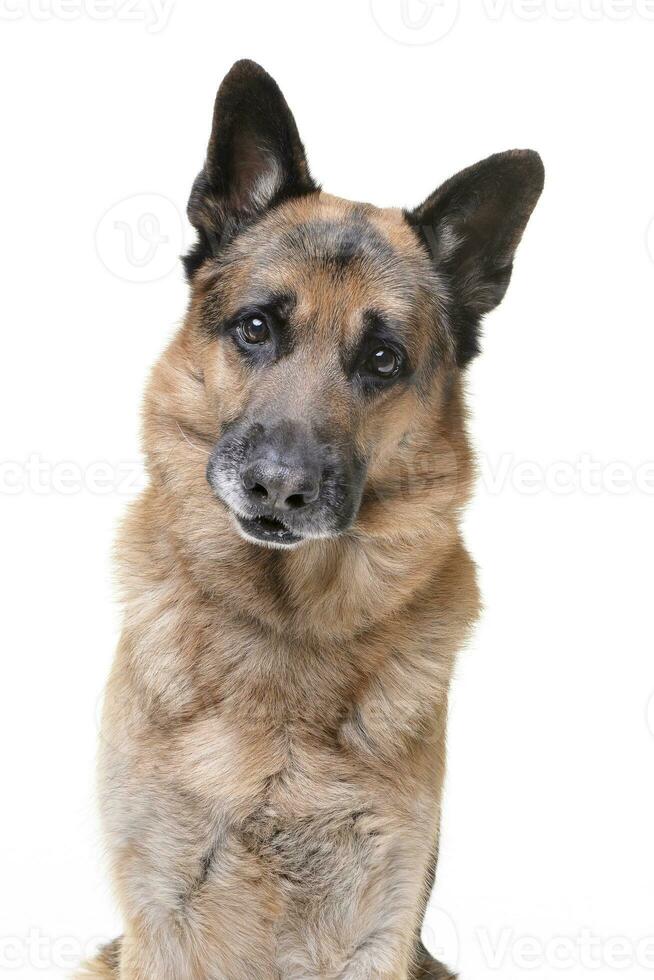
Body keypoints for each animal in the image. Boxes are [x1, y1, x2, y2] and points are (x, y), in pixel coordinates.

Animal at [79, 63, 544, 980]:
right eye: (256, 327)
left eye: (383, 361)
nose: (278, 489)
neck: (282, 632)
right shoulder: (158, 922)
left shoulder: (378, 928)